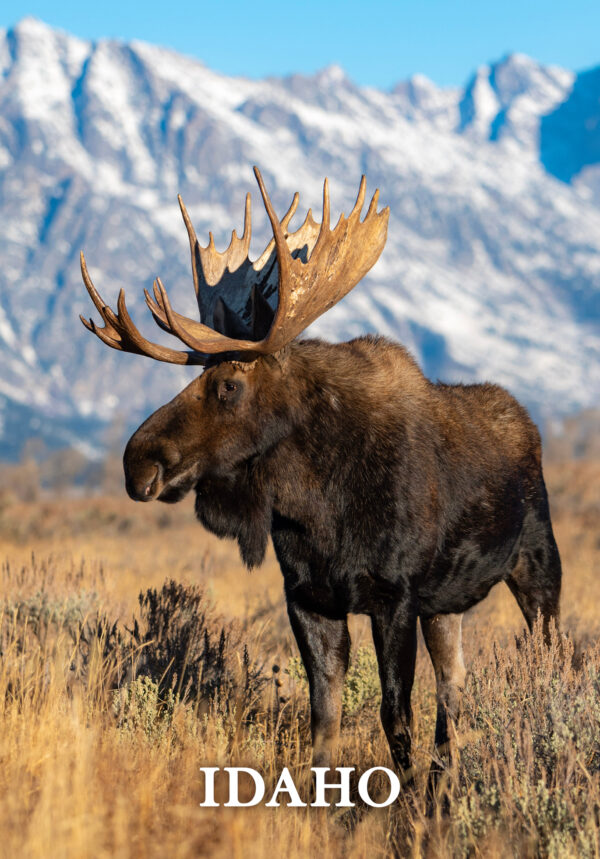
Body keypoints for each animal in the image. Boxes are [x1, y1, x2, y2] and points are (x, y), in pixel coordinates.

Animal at [79, 165, 564, 784]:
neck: (317, 506)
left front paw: (406, 800)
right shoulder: (309, 597)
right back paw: (445, 775)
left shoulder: (393, 596)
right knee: (454, 685)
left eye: (228, 385)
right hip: (446, 604)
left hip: (538, 568)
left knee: (550, 662)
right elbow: (323, 719)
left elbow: (394, 717)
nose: (136, 461)